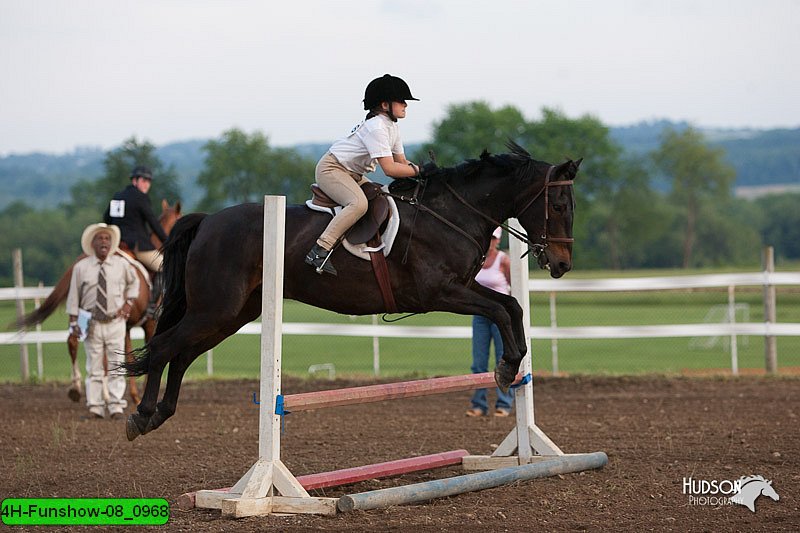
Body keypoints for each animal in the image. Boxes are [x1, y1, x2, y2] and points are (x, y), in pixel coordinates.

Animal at [16, 202, 182, 402]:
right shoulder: (148, 324)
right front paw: (138, 395)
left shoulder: (125, 326)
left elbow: (127, 357)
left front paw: (133, 395)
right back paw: (101, 393)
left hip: (82, 312)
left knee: (73, 341)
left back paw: (78, 388)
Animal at [122, 144, 580, 440]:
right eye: (558, 206)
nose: (561, 265)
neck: (450, 214)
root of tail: (208, 222)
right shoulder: (440, 293)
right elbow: (500, 311)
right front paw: (506, 367)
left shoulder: (464, 287)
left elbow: (511, 305)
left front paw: (514, 363)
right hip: (215, 309)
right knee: (163, 347)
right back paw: (141, 417)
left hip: (231, 314)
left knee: (181, 354)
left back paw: (159, 414)